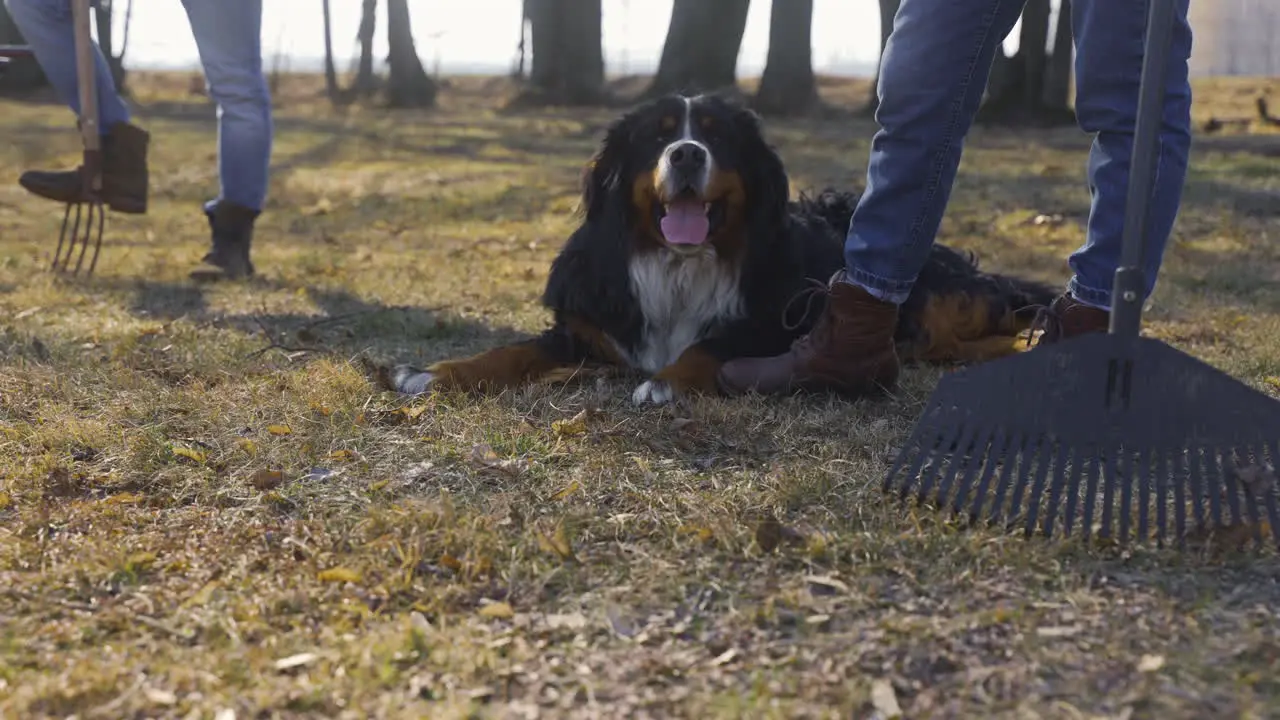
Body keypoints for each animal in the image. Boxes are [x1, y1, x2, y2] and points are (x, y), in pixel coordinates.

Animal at [381, 91, 1059, 399]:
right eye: (657, 138)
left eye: (715, 136)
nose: (685, 154)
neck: (677, 265)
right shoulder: (587, 330)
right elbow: (510, 351)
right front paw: (435, 372)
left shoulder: (774, 322)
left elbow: (711, 344)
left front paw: (667, 381)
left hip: (934, 301)